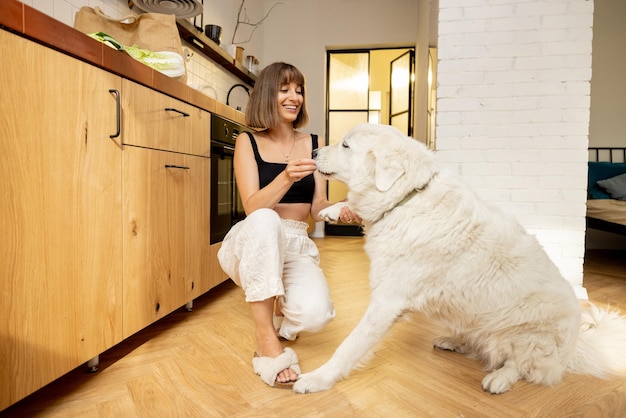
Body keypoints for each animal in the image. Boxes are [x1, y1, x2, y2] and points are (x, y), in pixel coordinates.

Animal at [294, 122, 624, 394]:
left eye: (346, 145)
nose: (313, 150)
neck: (408, 198)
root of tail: (574, 348)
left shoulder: (387, 301)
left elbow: (350, 344)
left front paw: (318, 378)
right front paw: (333, 211)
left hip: (525, 336)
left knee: (523, 366)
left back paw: (499, 379)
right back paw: (453, 341)